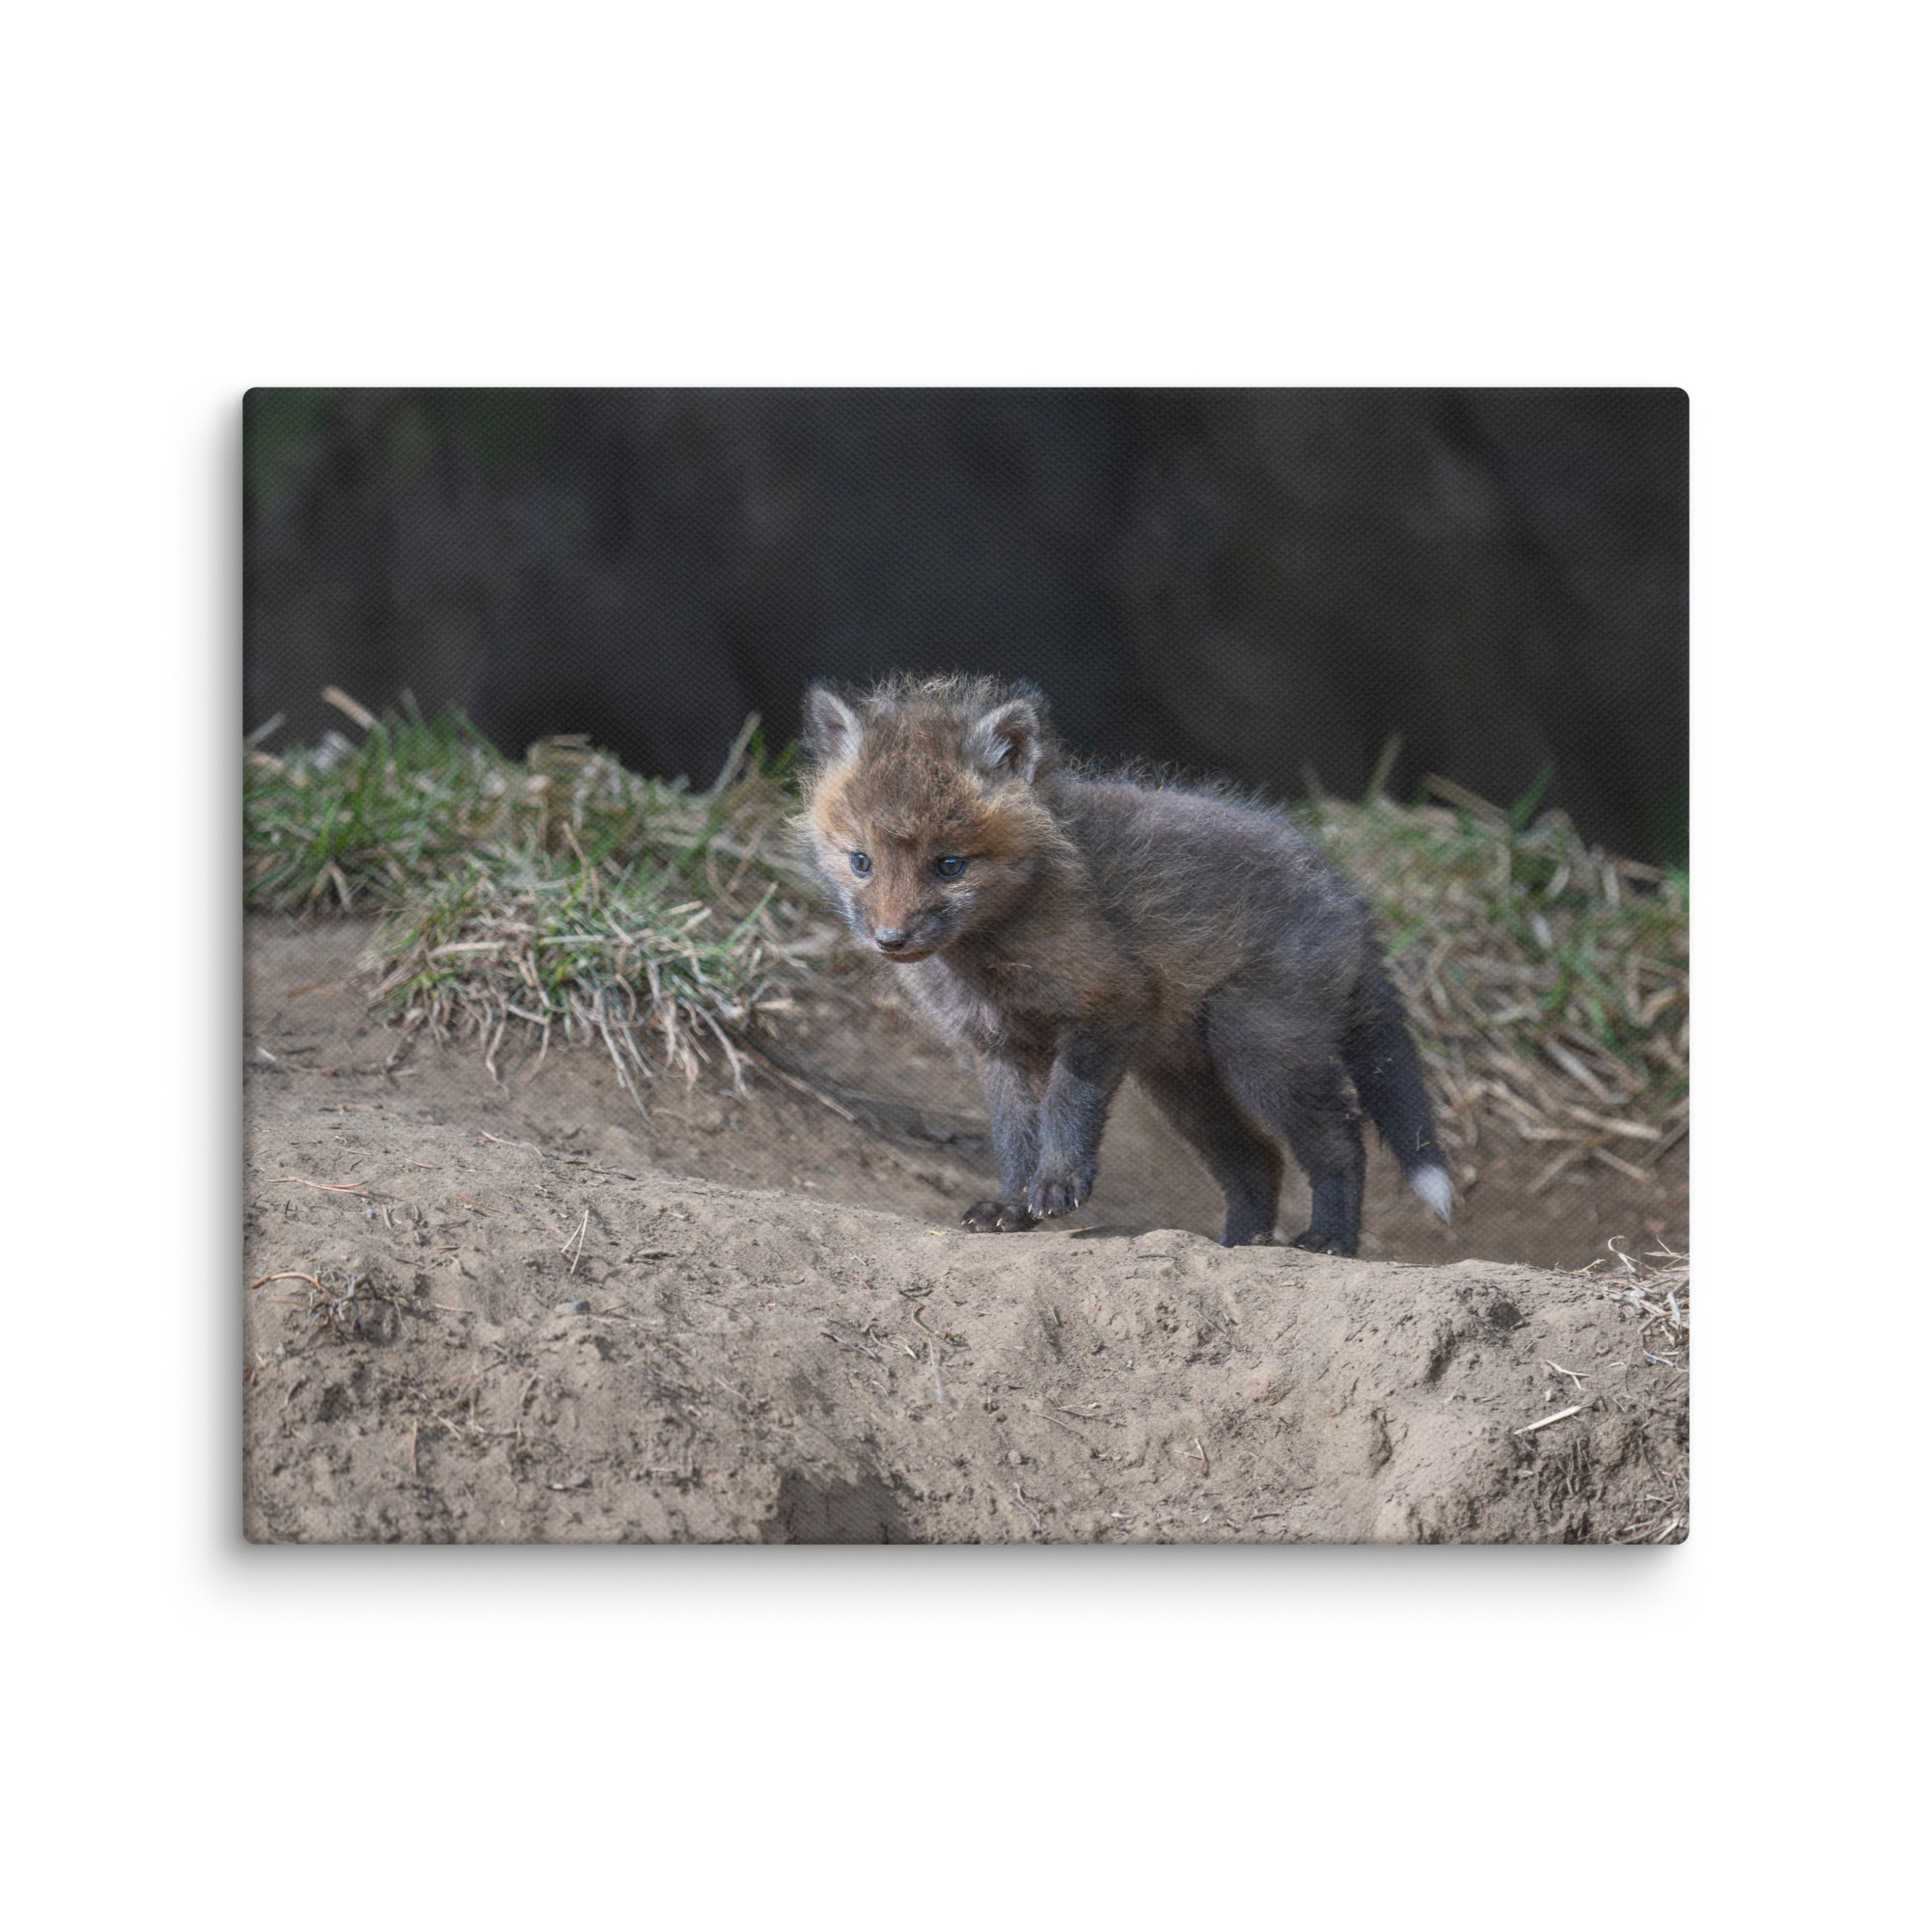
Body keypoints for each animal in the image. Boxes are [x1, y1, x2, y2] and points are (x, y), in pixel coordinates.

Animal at [798, 674, 1453, 1255]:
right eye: (861, 861)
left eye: (949, 865)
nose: (890, 939)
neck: (988, 960)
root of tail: (1346, 896)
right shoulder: (998, 1046)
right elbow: (1014, 1137)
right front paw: (1011, 1205)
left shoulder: (1109, 1003)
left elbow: (1066, 1105)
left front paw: (1058, 1184)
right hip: (1184, 1085)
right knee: (1258, 1160)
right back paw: (1240, 1244)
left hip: (1261, 1054)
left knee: (1341, 1140)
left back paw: (1329, 1239)